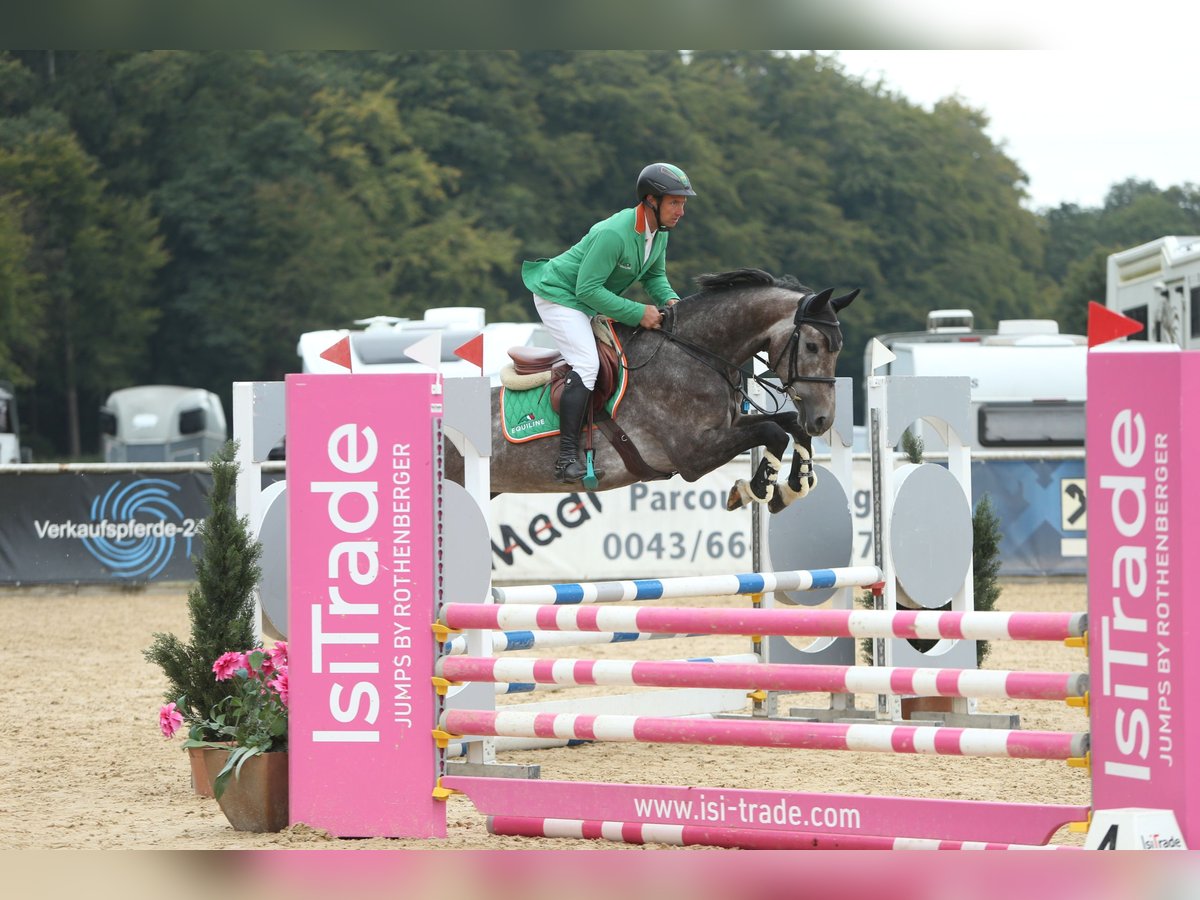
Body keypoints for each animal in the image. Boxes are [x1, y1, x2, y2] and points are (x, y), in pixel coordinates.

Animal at [445, 268, 858, 514]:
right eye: (812, 346)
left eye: (838, 349)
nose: (823, 420)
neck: (695, 353)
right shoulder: (693, 454)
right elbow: (773, 431)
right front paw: (753, 488)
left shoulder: (728, 426)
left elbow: (789, 424)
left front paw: (792, 486)